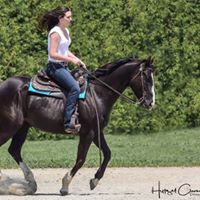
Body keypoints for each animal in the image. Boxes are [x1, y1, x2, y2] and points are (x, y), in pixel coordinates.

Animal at [0, 56, 155, 195]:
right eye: (146, 77)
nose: (151, 102)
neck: (97, 94)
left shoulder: (97, 132)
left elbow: (107, 154)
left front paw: (95, 180)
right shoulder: (88, 133)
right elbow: (81, 159)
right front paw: (65, 186)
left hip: (22, 127)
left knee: (14, 150)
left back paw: (31, 183)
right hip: (9, 128)